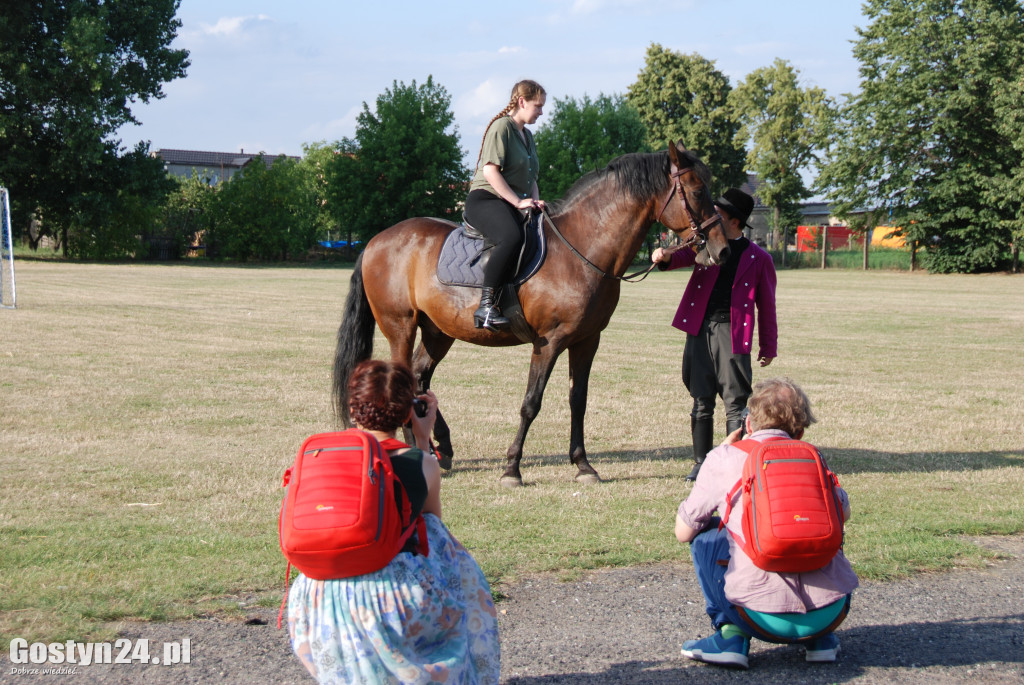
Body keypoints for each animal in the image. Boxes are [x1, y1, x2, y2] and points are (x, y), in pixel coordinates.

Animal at [331, 139, 724, 483]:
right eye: (697, 191)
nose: (721, 249)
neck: (582, 248)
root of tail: (376, 241)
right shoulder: (548, 342)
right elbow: (531, 403)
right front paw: (512, 469)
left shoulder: (587, 341)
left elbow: (578, 400)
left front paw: (583, 465)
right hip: (400, 326)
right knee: (405, 380)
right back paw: (419, 450)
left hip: (438, 331)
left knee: (418, 377)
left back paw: (440, 447)